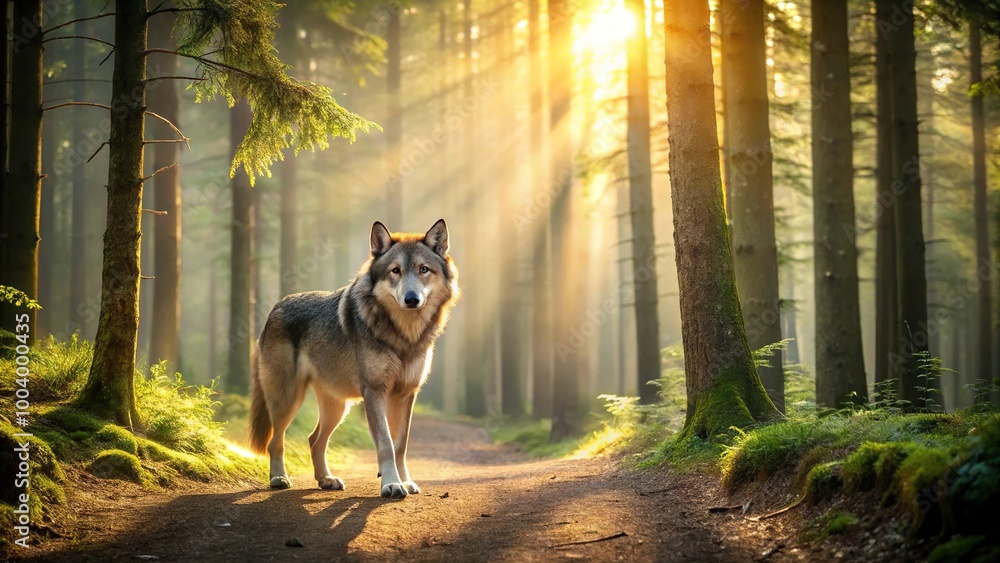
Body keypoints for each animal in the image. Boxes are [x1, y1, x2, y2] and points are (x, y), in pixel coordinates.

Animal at [247, 219, 460, 498]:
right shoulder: (375, 391)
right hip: (288, 401)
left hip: (338, 408)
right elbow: (386, 444)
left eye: (424, 269)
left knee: (314, 440)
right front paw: (391, 484)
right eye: (395, 271)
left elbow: (400, 445)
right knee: (276, 442)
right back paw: (279, 478)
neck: (403, 335)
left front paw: (405, 482)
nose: (412, 299)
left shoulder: (406, 394)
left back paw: (326, 479)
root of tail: (276, 306)